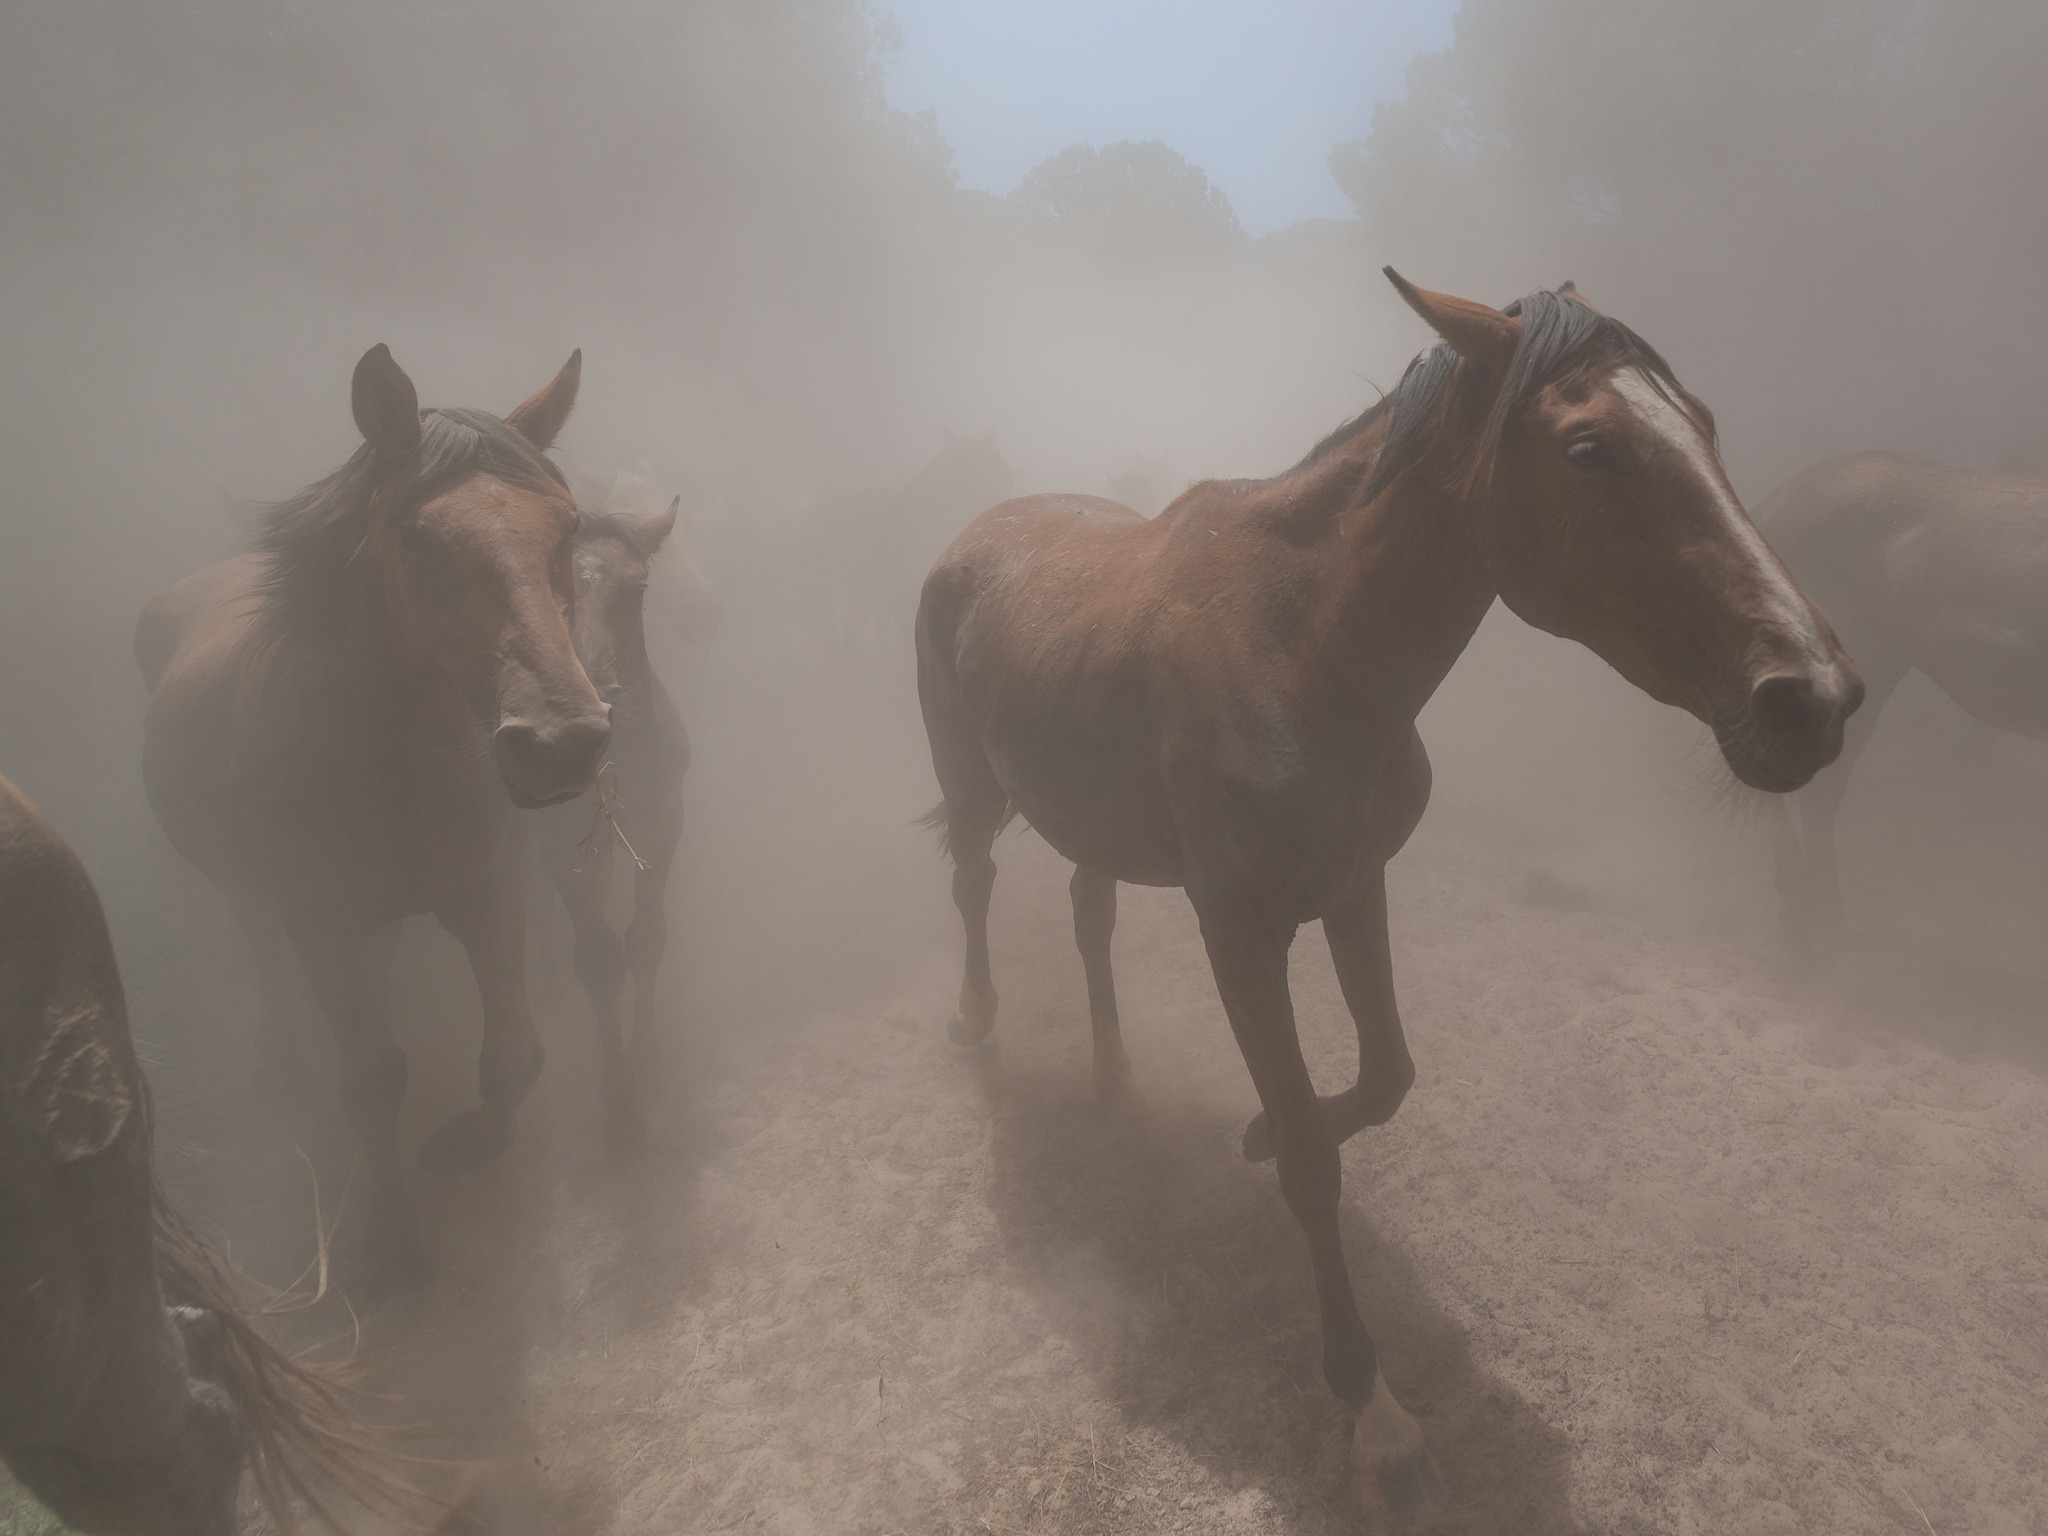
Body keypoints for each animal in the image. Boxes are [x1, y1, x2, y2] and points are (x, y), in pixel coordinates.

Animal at [137, 348, 606, 1286]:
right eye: (415, 538)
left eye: (570, 526)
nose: (561, 742)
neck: (390, 766)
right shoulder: (321, 928)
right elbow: (370, 1081)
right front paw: (391, 1239)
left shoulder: (489, 901)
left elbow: (514, 1055)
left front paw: (460, 1148)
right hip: (258, 895)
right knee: (259, 944)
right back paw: (278, 1056)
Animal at [913, 276, 1859, 1531]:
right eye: (1588, 448)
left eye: (1701, 425)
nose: (1811, 696)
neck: (1297, 644)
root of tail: (974, 534)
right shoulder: (1241, 933)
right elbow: (1316, 1160)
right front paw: (1379, 1424)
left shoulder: (1354, 888)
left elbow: (1380, 1076)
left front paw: (1258, 1127)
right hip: (974, 788)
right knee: (974, 883)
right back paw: (973, 1021)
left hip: (1085, 813)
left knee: (1086, 908)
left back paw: (1114, 1073)